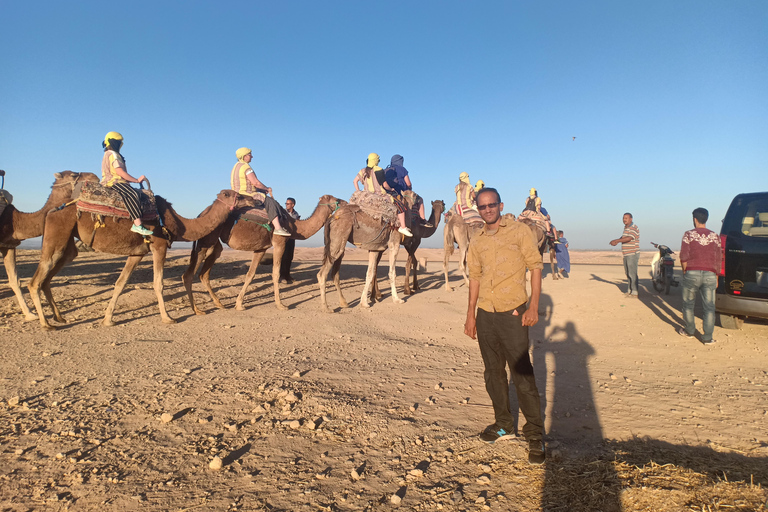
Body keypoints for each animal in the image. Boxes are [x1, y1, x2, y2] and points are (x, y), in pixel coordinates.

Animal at [0, 170, 99, 320]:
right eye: (74, 174)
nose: (96, 177)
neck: (15, 221)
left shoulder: (8, 245)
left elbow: (15, 280)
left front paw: (30, 314)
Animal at [27, 187, 255, 328]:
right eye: (233, 194)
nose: (253, 198)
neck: (177, 223)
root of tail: (52, 210)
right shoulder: (159, 246)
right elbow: (158, 283)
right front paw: (167, 318)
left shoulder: (137, 253)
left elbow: (121, 283)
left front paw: (108, 319)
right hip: (57, 234)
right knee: (35, 280)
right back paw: (45, 324)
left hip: (67, 244)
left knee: (48, 276)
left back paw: (59, 317)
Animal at [182, 195, 344, 312]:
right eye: (335, 199)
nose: (344, 202)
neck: (293, 224)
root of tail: (201, 214)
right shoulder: (279, 242)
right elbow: (276, 273)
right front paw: (281, 305)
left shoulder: (261, 248)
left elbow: (251, 274)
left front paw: (239, 304)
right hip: (207, 239)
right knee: (189, 274)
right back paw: (197, 310)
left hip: (214, 243)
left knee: (205, 272)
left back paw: (219, 303)